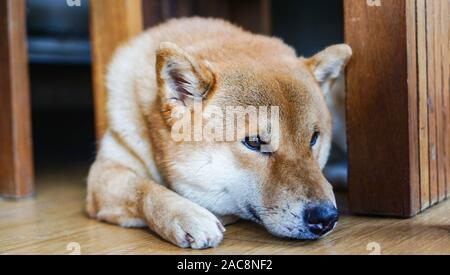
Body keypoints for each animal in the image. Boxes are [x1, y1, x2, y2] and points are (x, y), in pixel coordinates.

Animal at [87, 17, 352, 250]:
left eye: (313, 138)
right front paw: (187, 214)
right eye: (254, 142)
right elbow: (144, 190)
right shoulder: (104, 174)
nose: (326, 217)